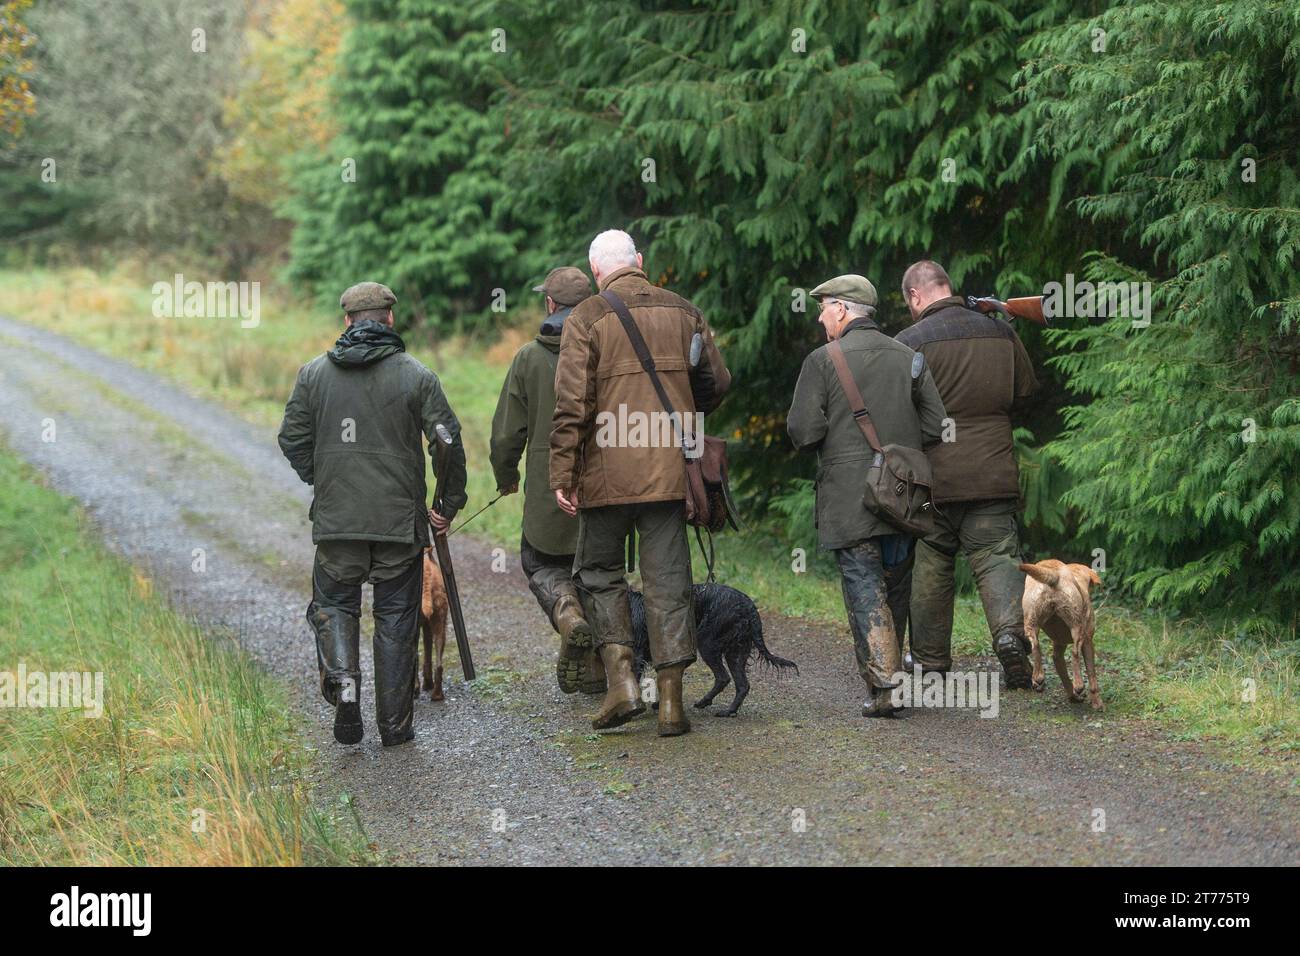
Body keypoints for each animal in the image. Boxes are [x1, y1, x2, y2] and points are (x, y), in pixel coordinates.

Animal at [626, 582, 795, 717]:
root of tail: (750, 607)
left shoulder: (637, 656)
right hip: (737, 651)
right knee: (742, 684)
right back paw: (728, 710)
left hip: (708, 643)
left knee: (723, 677)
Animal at [1019, 561, 1102, 712]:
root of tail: (1054, 575)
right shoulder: (1088, 642)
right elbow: (1092, 675)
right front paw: (1097, 703)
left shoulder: (1058, 649)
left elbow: (1064, 677)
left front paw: (1073, 697)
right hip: (1077, 627)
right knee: (1075, 653)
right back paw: (1079, 685)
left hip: (1030, 622)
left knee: (1036, 646)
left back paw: (1038, 678)